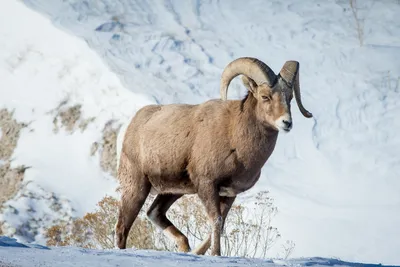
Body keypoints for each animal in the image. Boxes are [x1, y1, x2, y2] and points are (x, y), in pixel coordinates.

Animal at [114, 57, 310, 256]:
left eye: (290, 98)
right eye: (265, 96)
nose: (286, 123)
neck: (235, 138)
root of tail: (135, 123)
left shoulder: (229, 193)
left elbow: (221, 224)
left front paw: (198, 252)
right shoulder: (207, 185)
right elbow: (216, 220)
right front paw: (216, 254)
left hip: (172, 191)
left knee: (154, 213)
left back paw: (186, 247)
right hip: (137, 187)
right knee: (122, 227)